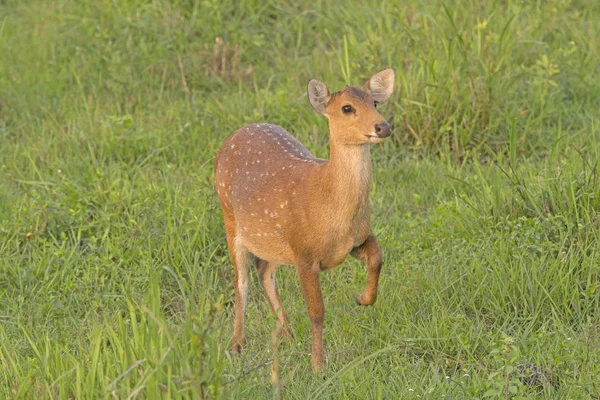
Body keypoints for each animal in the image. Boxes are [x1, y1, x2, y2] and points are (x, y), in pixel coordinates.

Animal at [214, 68, 394, 372]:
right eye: (347, 108)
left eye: (375, 102)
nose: (383, 127)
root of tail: (232, 136)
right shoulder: (305, 254)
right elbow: (317, 311)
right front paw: (318, 366)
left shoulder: (356, 239)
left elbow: (378, 258)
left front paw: (364, 298)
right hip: (230, 218)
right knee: (241, 283)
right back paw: (237, 345)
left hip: (275, 239)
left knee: (264, 270)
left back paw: (286, 332)